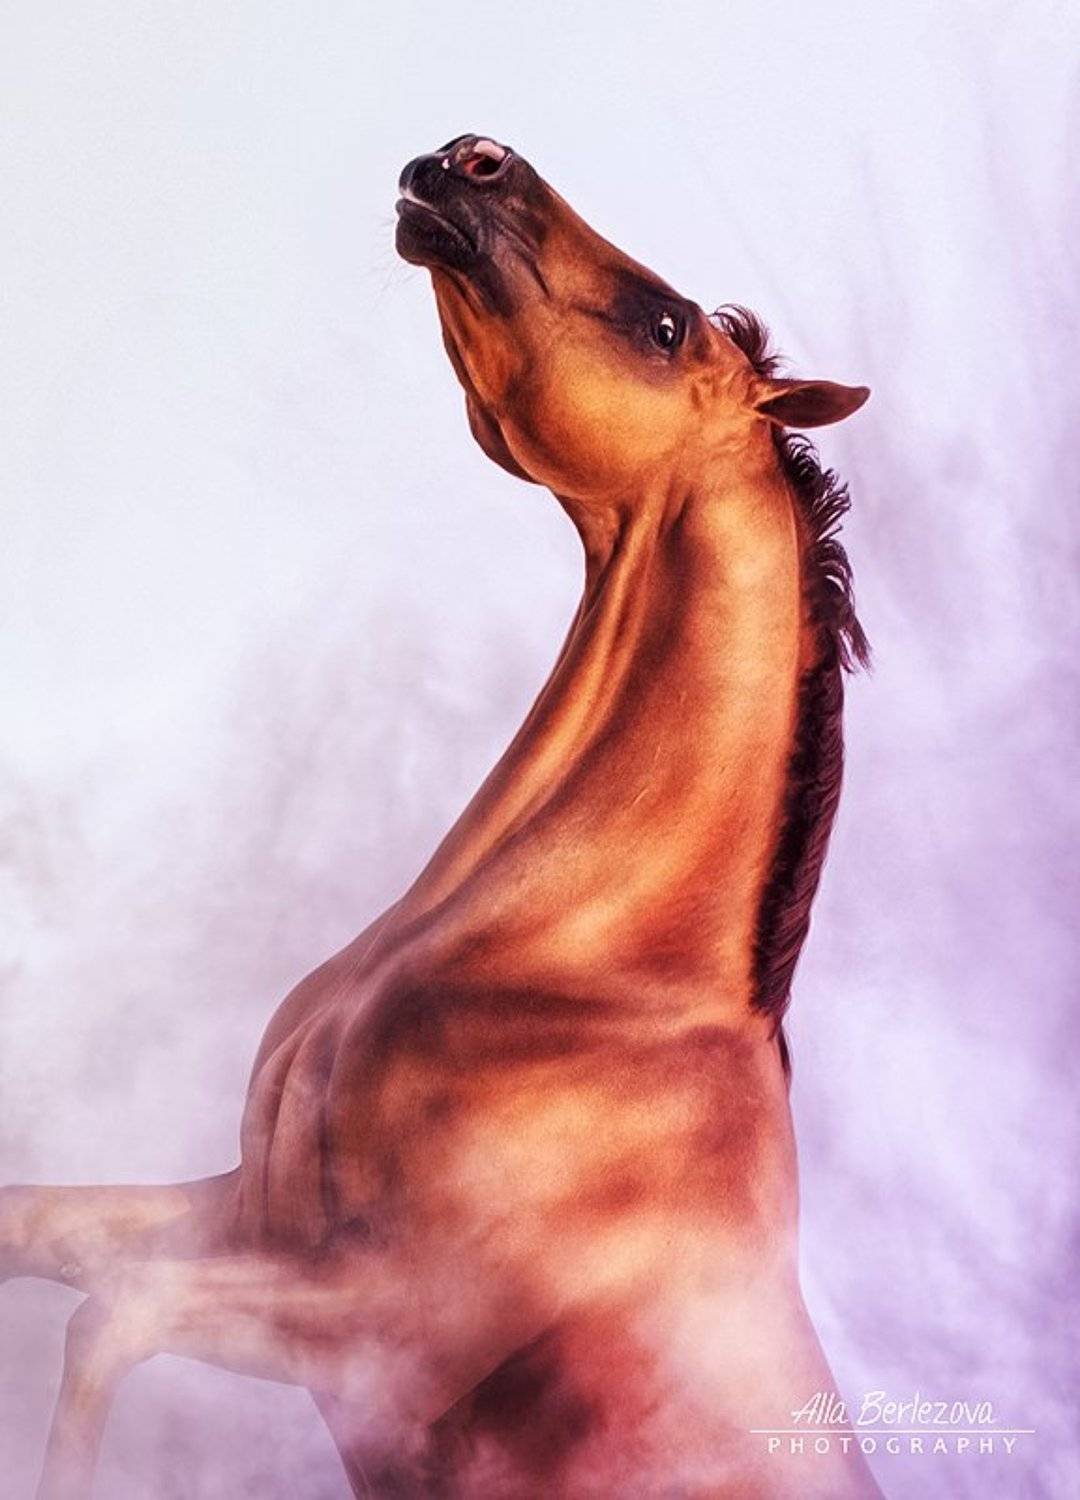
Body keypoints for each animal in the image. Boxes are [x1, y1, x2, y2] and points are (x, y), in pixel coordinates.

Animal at [2, 133, 879, 1498]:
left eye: (666, 327)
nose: (469, 158)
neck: (587, 985)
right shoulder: (244, 1212)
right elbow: (37, 1230)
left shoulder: (388, 1322)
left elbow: (110, 1321)